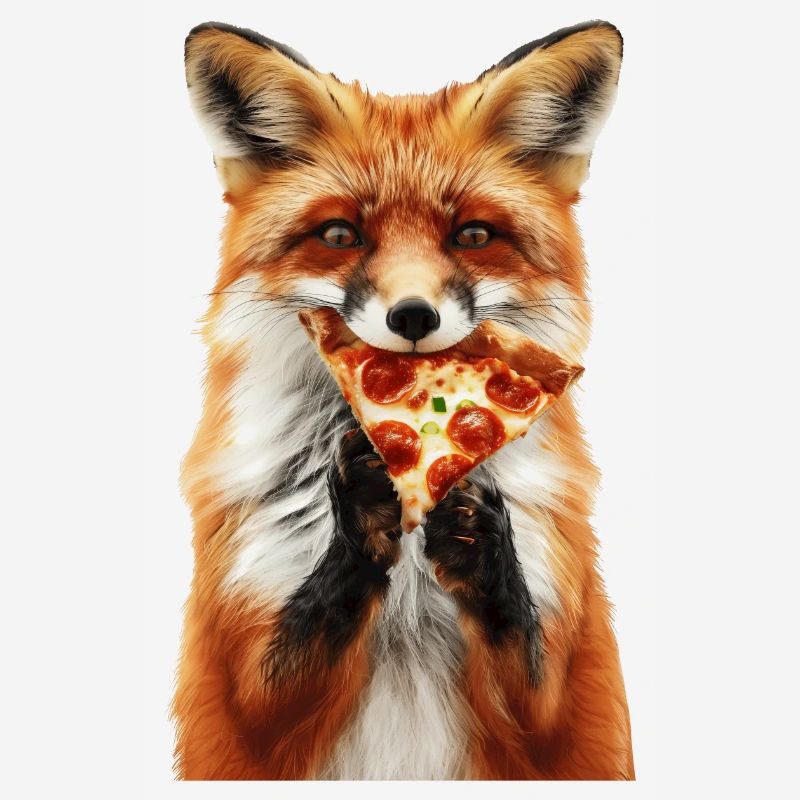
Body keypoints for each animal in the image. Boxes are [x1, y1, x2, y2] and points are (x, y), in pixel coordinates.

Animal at [172, 19, 634, 780]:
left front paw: (481, 544)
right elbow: (302, 636)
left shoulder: (563, 695)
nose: (413, 315)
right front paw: (359, 509)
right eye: (340, 234)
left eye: (472, 235)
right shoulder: (242, 692)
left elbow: (527, 662)